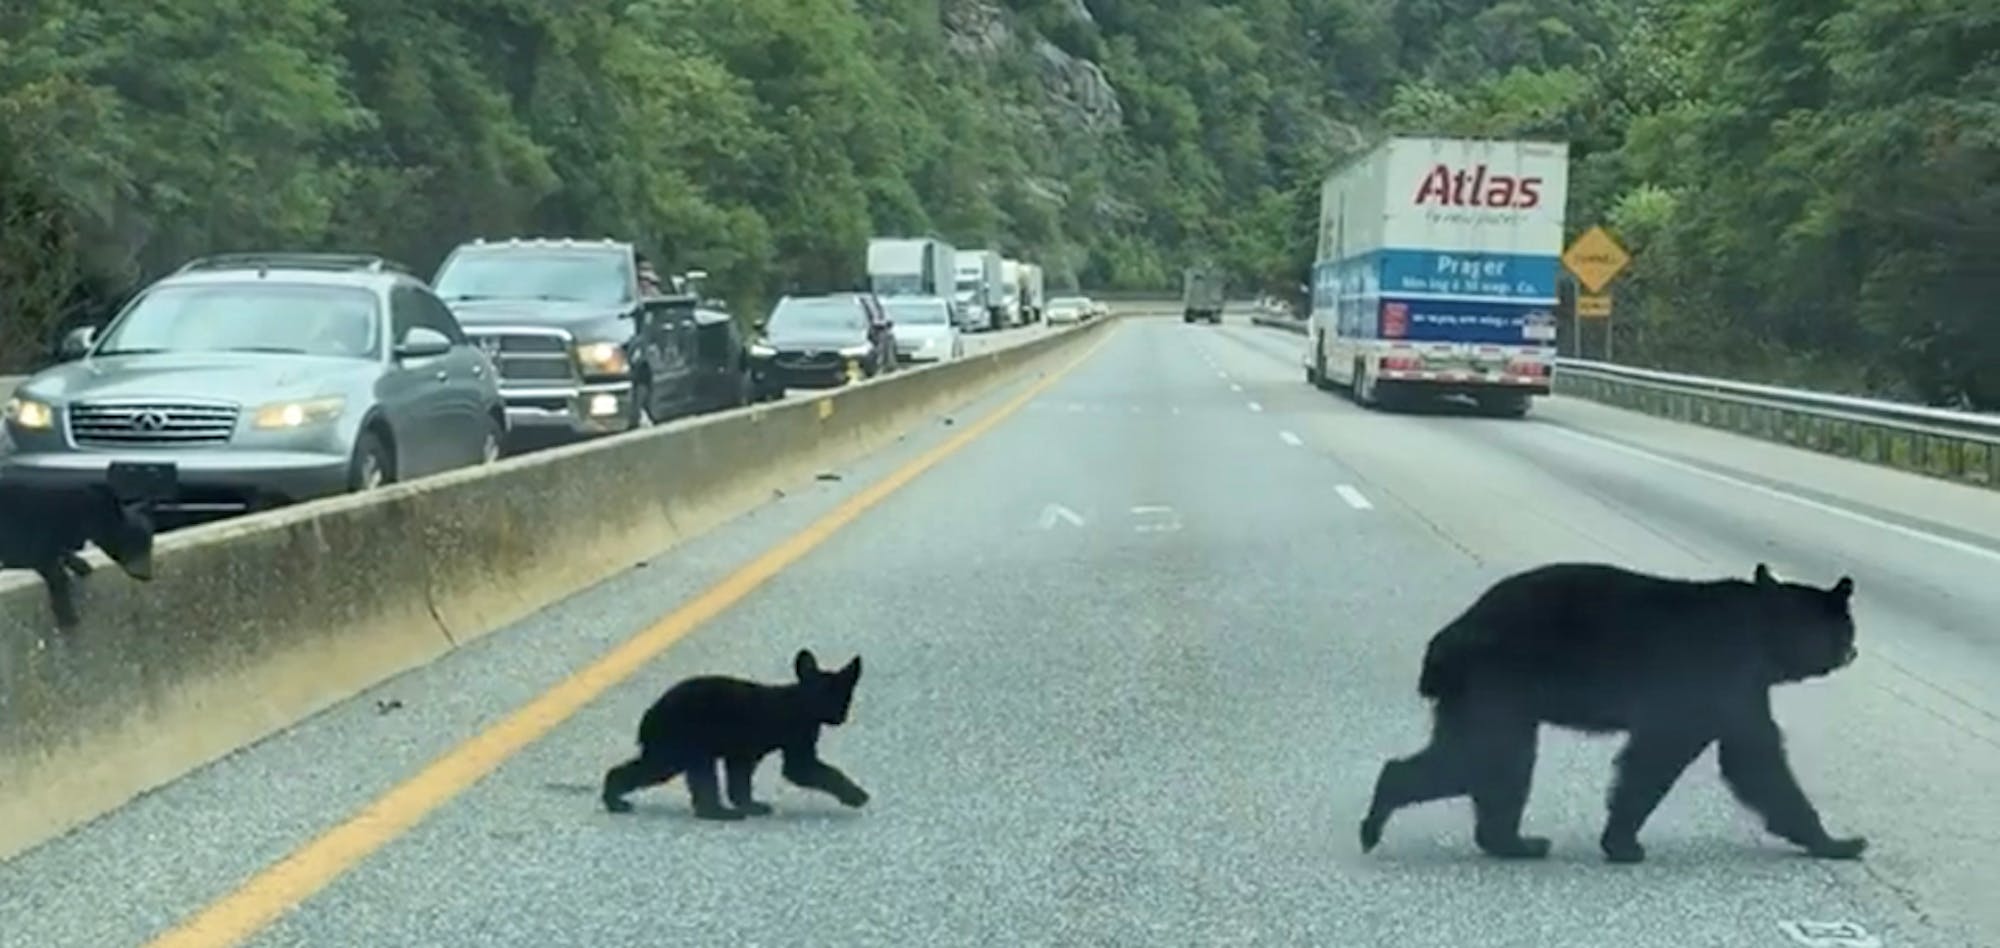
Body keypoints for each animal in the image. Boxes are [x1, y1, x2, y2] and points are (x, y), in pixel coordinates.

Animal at [600, 648, 868, 820]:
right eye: (837, 698)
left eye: (844, 697)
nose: (839, 718)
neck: (801, 704)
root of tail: (650, 713)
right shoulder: (795, 738)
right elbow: (805, 769)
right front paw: (857, 795)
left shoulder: (742, 752)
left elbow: (740, 780)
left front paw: (752, 805)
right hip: (682, 741)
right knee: (691, 773)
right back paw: (718, 813)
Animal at [1352, 564, 1864, 868]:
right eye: (1848, 626)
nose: (1854, 651)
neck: (1764, 632)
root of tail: (1447, 637)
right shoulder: (1719, 679)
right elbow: (1738, 758)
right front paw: (1840, 842)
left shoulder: (1734, 689)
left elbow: (1738, 754)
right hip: (1498, 682)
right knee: (1489, 758)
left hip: (1478, 696)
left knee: (1479, 759)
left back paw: (1506, 840)